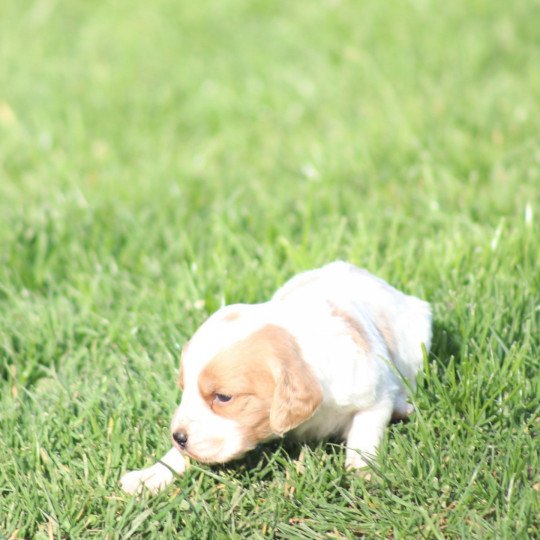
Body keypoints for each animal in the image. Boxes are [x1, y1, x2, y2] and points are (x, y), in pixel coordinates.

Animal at [120, 262, 432, 494]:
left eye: (223, 397)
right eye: (184, 389)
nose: (178, 436)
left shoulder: (374, 392)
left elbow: (364, 436)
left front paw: (362, 474)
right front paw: (149, 476)